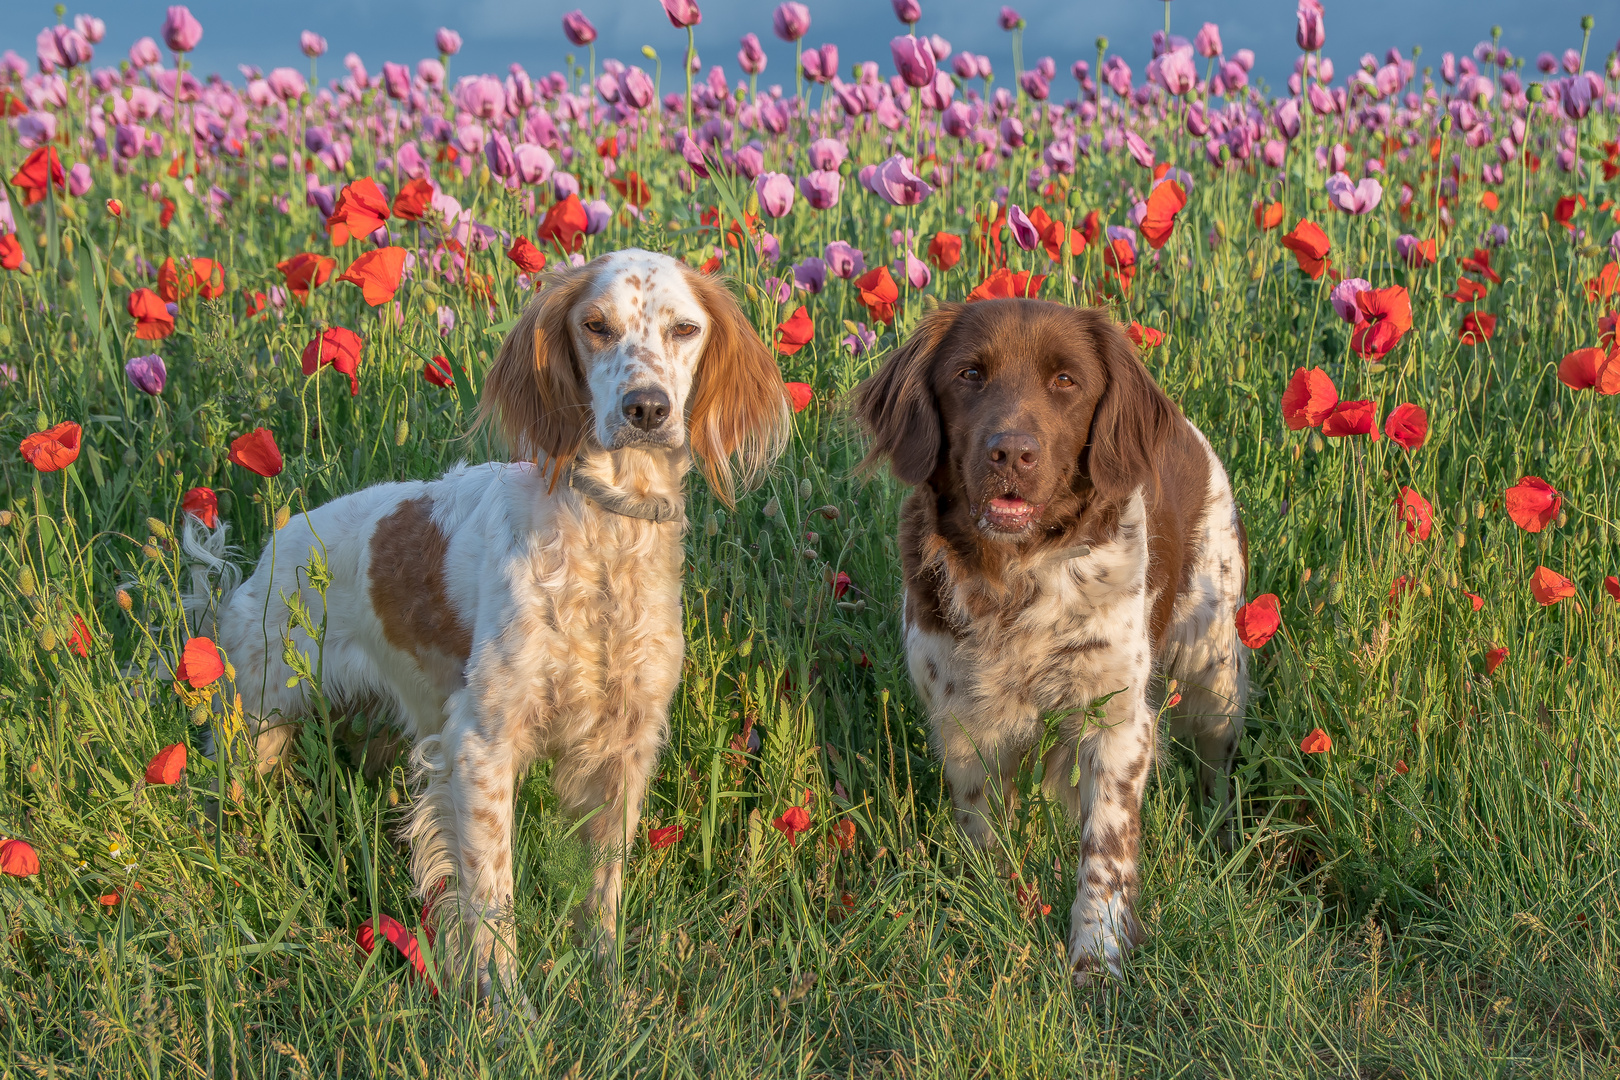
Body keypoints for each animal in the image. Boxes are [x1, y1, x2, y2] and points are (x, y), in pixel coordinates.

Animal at [186, 250, 793, 1016]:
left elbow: (602, 892)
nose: (647, 408)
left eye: (685, 328)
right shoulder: (481, 747)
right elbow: (492, 895)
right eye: (596, 325)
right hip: (253, 725)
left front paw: (606, 987)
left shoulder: (624, 746)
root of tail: (266, 557)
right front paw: (507, 1012)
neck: (606, 537)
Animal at [855, 299, 1244, 984]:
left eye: (1066, 380)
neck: (1018, 579)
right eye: (969, 374)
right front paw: (991, 902)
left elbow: (1105, 848)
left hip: (1213, 673)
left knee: (1216, 767)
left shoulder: (1117, 722)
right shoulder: (965, 721)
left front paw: (1098, 957)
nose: (1011, 452)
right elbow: (983, 827)